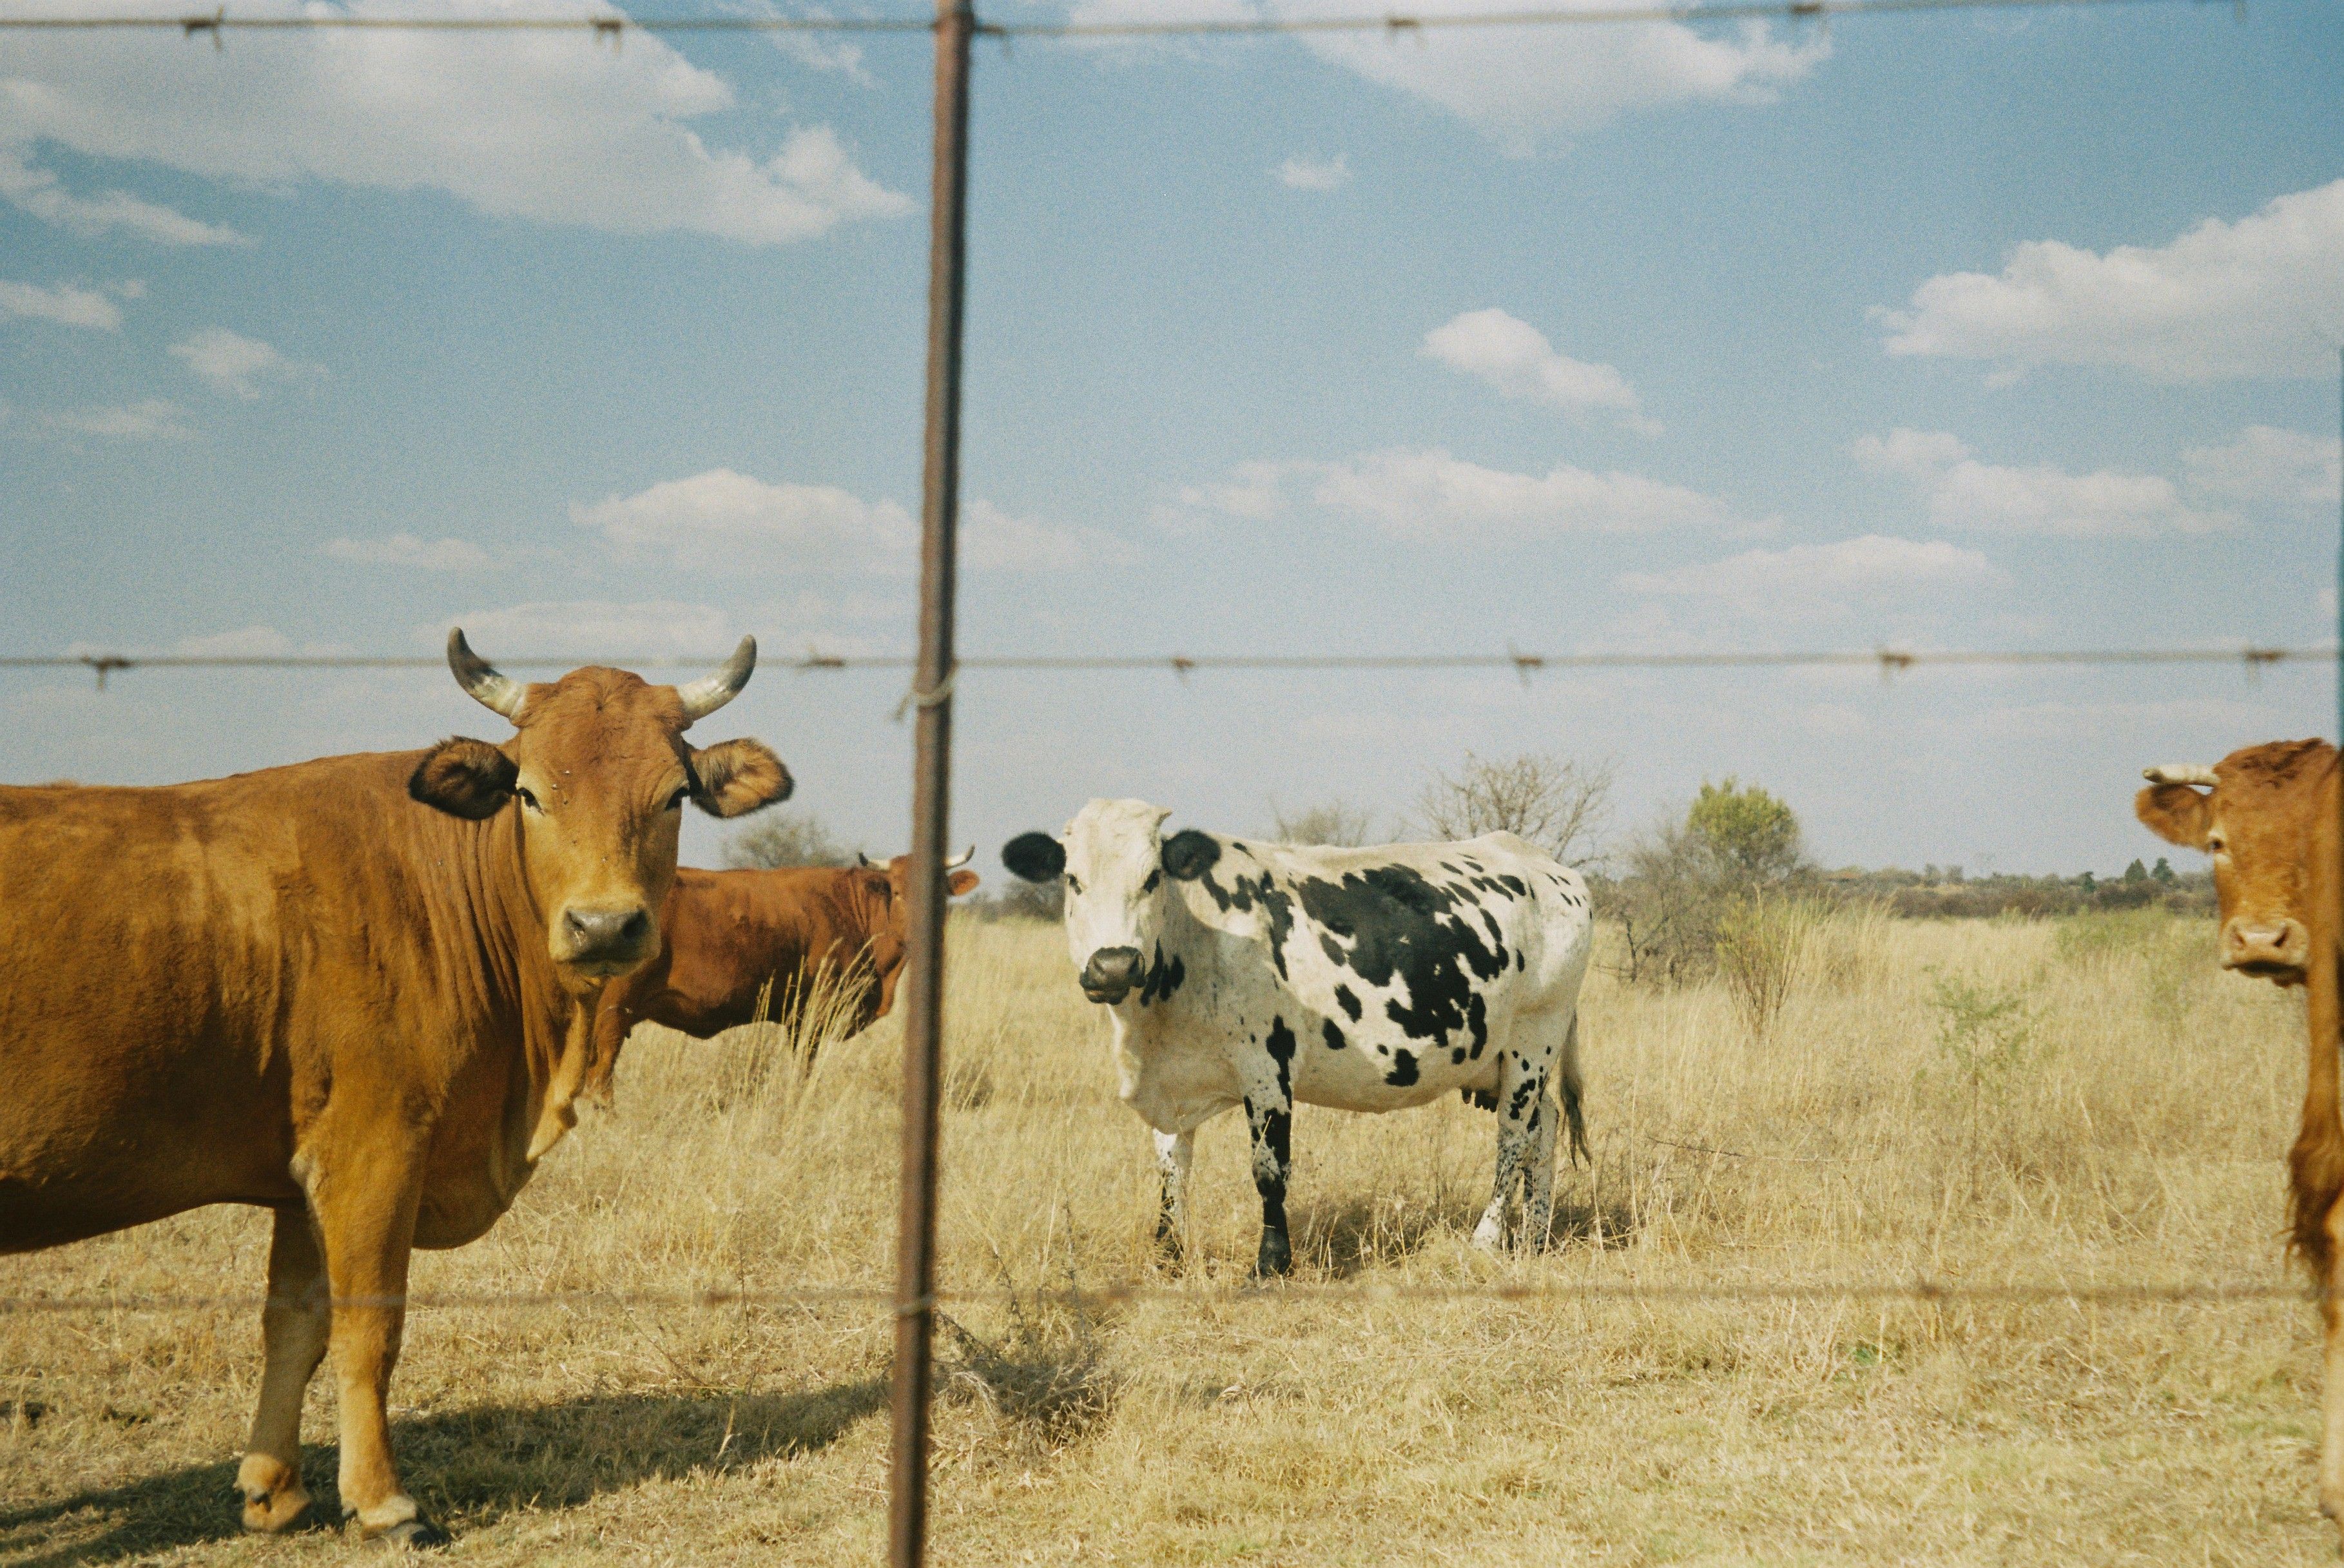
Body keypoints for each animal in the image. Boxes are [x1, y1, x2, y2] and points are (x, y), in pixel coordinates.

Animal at [0, 633, 792, 1546]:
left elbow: (296, 1324)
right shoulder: (374, 1147)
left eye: (673, 795)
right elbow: (369, 1327)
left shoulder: (304, 1172)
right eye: (528, 793)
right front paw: (383, 1503)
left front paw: (274, 1490)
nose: (603, 926)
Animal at [1002, 799, 1593, 1276]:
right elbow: (1172, 1169)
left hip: (1534, 1037)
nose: (1114, 964)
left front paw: (1271, 1261)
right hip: (1504, 1059)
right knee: (1542, 1128)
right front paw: (1167, 1255)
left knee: (1512, 1139)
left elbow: (1268, 1170)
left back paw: (1487, 1240)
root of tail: (1547, 865)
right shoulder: (1171, 1081)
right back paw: (1534, 1238)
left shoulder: (1267, 1067)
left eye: (1151, 878)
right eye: (1072, 879)